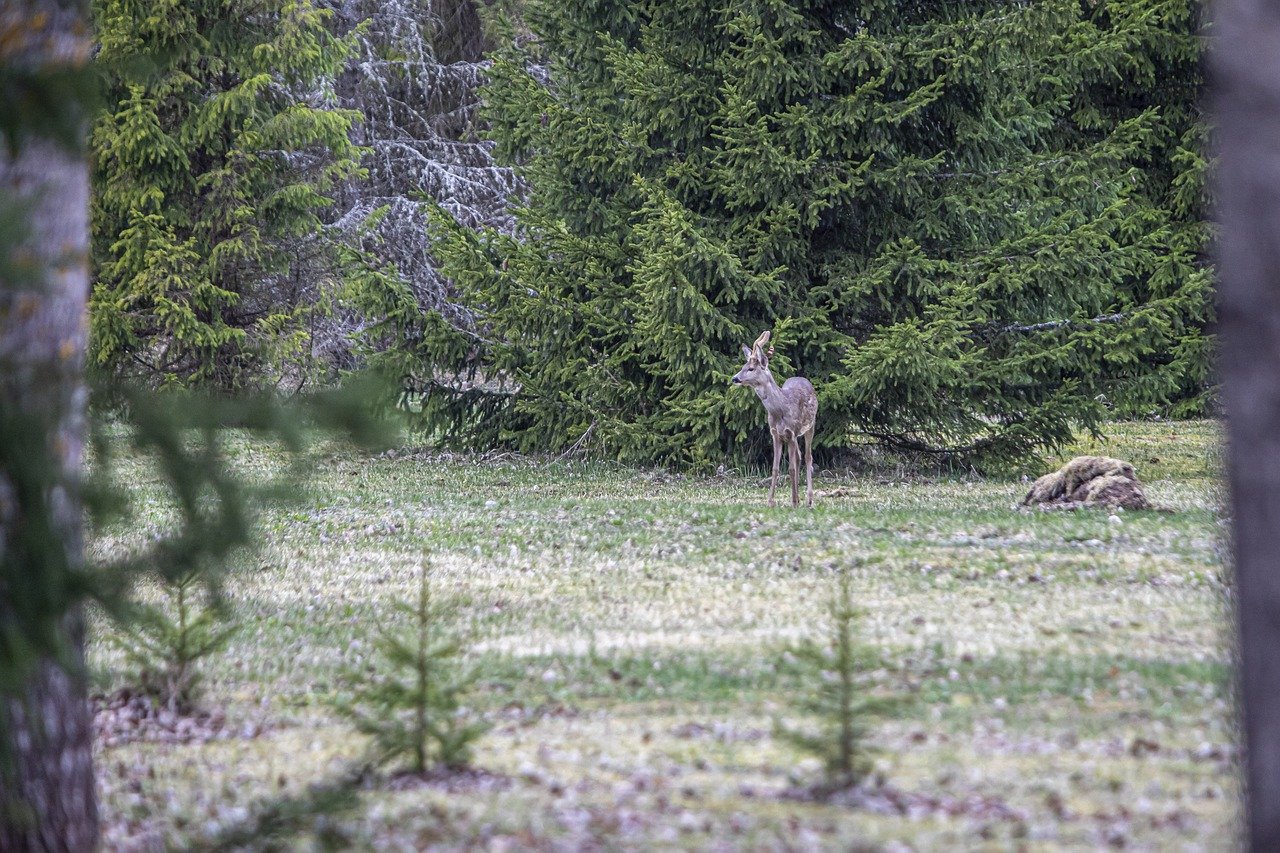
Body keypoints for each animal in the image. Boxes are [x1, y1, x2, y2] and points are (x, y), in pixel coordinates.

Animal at [737, 330, 814, 504]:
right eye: (743, 367)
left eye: (751, 368)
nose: (735, 378)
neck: (780, 410)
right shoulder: (775, 434)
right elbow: (775, 468)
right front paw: (771, 501)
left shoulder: (791, 432)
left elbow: (791, 468)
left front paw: (793, 502)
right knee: (799, 456)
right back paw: (799, 497)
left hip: (810, 426)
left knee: (808, 457)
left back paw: (808, 499)